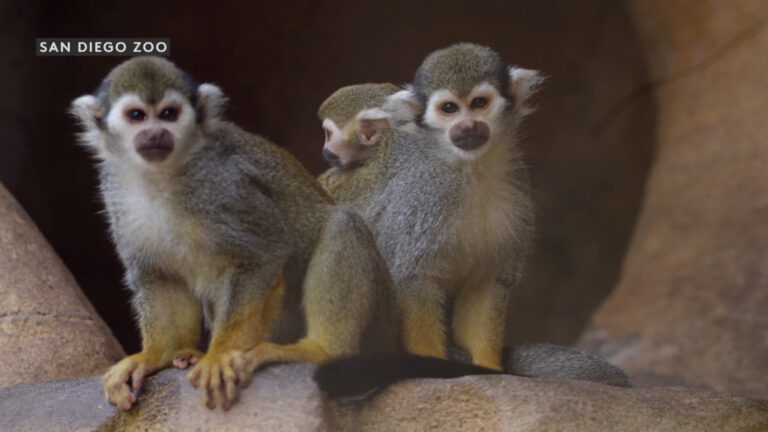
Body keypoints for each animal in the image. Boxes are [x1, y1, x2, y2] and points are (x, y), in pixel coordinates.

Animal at [70, 56, 399, 411]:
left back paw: (320, 350)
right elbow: (157, 275)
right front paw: (154, 356)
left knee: (342, 223)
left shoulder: (226, 184)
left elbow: (264, 253)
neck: (163, 175)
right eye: (137, 116)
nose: (155, 132)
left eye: (169, 113)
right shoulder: (113, 190)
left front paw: (220, 355)